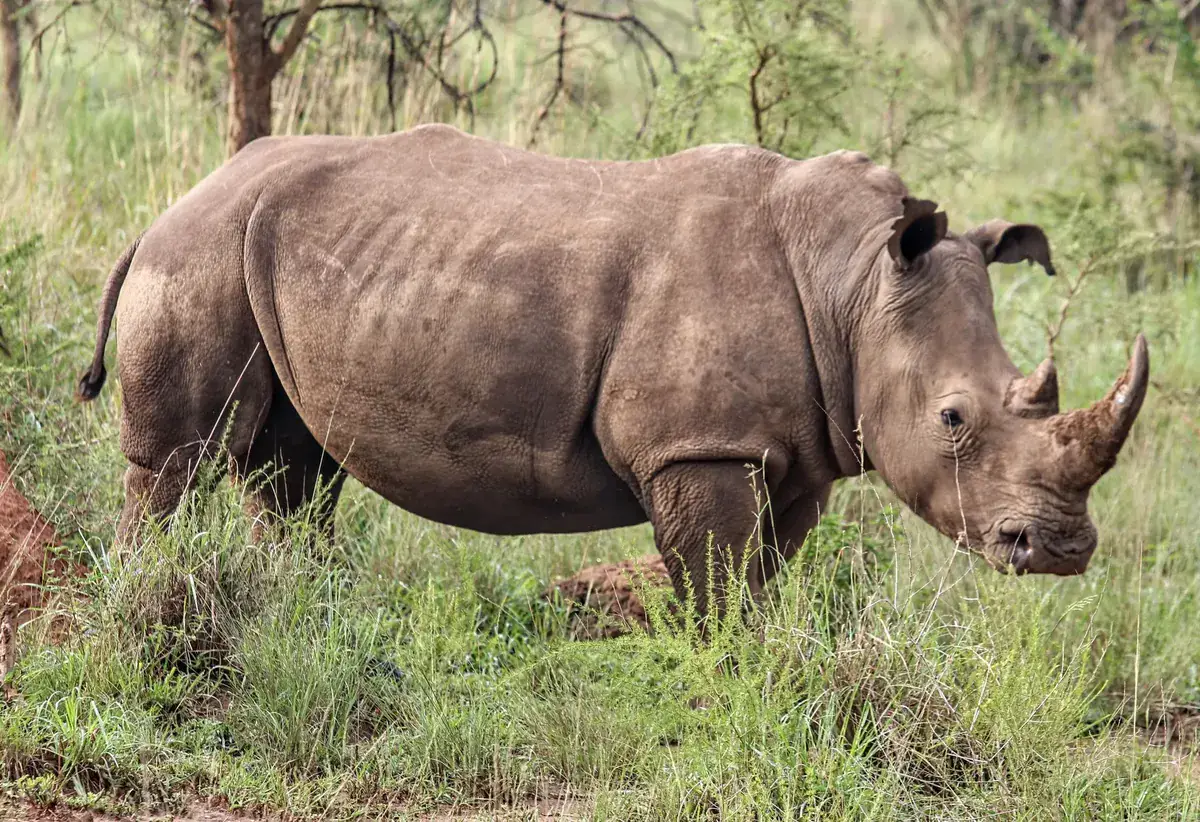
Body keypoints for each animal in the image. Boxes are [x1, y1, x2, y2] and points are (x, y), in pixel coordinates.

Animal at [77, 124, 1149, 615]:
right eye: (955, 419)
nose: (1060, 549)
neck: (853, 280)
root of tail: (180, 199)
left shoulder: (791, 449)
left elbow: (764, 578)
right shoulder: (697, 448)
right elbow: (718, 590)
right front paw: (727, 687)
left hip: (263, 250)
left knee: (292, 469)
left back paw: (308, 612)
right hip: (202, 252)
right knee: (176, 460)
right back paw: (139, 602)